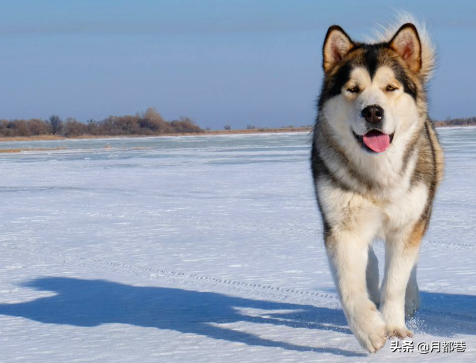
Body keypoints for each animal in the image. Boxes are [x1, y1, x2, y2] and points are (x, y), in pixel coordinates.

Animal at [310, 15, 444, 354]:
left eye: (390, 87)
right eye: (353, 89)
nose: (372, 111)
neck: (377, 173)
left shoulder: (408, 223)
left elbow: (395, 281)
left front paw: (394, 326)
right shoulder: (340, 228)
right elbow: (349, 285)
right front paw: (369, 330)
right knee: (368, 262)